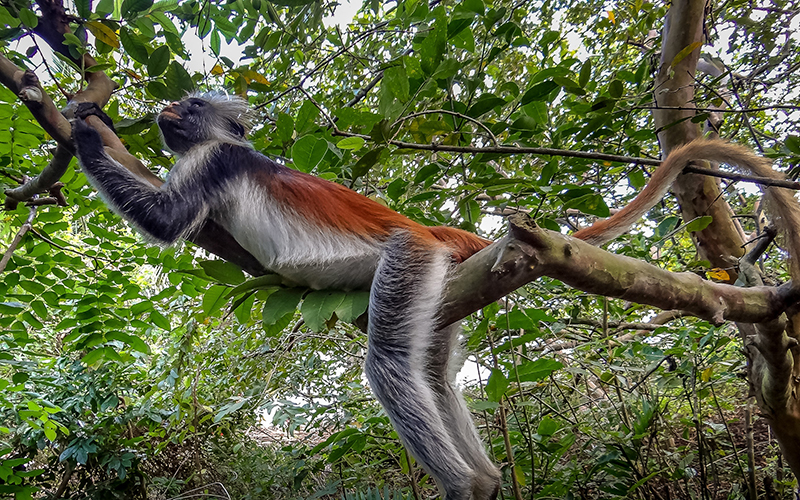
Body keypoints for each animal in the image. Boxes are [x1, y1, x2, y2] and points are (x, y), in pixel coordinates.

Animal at [73, 94, 780, 500]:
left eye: (189, 105)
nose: (166, 112)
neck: (225, 146)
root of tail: (430, 229)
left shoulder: (214, 160)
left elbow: (166, 221)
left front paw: (87, 129)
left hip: (410, 258)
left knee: (391, 362)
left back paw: (465, 484)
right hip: (441, 283)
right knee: (433, 373)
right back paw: (488, 481)